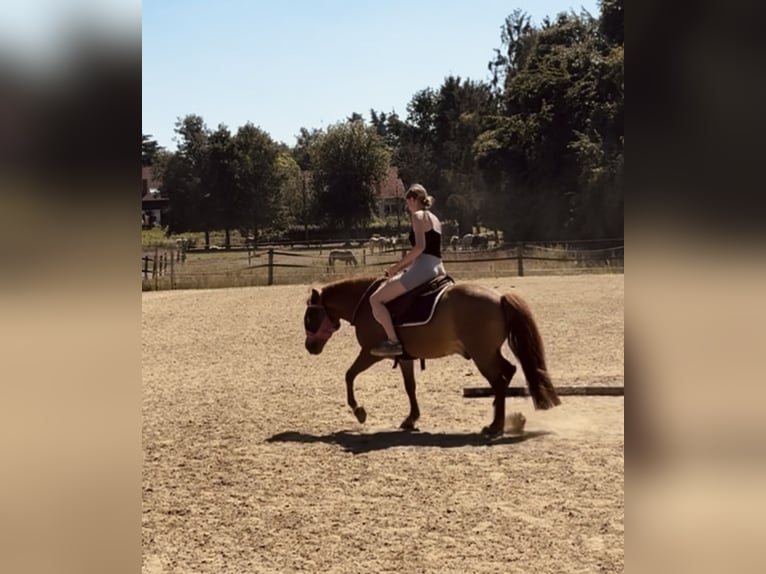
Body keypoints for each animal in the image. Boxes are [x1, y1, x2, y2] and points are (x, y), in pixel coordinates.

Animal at [303, 275, 560, 437]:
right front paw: (411, 419)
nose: (309, 347)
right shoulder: (405, 358)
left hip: (483, 355)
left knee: (499, 380)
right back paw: (504, 418)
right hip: (488, 353)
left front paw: (359, 412)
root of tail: (499, 299)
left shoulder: (369, 353)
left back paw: (495, 426)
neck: (367, 305)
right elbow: (410, 387)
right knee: (507, 373)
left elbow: (349, 375)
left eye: (309, 317)